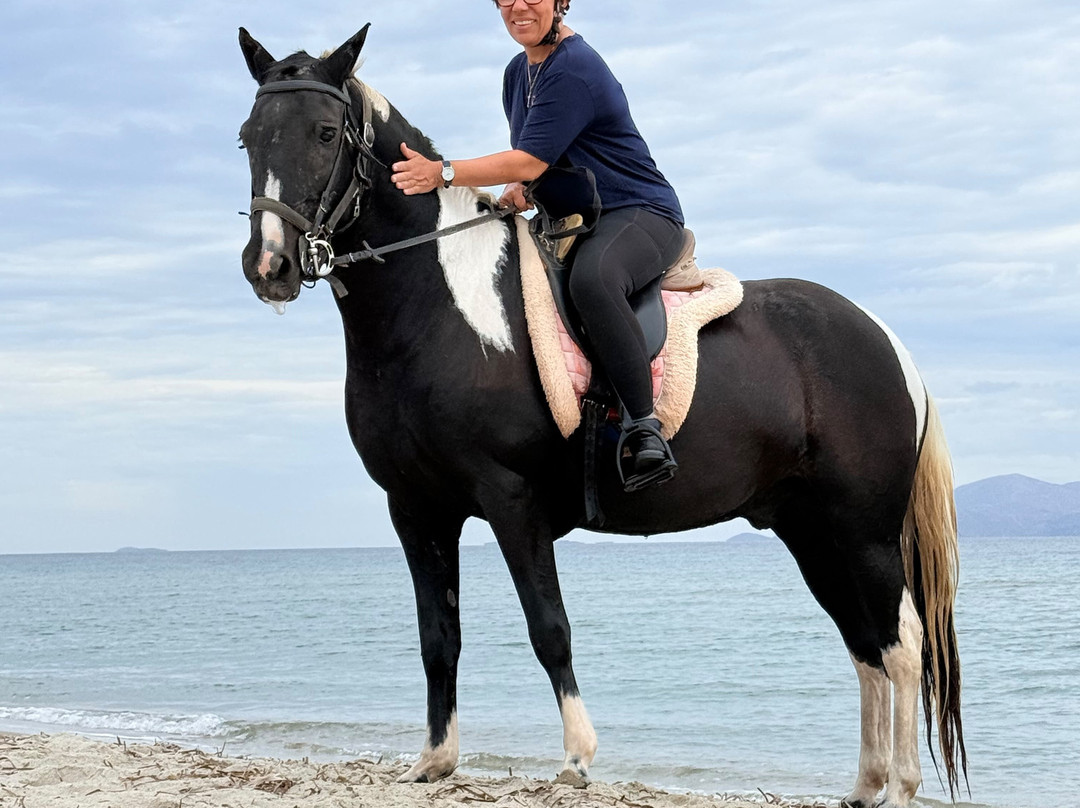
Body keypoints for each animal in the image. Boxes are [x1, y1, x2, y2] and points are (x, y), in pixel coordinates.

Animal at [236, 25, 967, 808]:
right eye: (249, 136)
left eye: (324, 132)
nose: (270, 266)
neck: (440, 309)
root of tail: (887, 342)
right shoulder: (415, 509)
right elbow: (439, 638)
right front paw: (435, 759)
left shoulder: (512, 500)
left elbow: (548, 627)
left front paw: (577, 758)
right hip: (813, 530)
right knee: (864, 645)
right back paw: (866, 783)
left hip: (862, 532)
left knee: (901, 645)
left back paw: (901, 785)